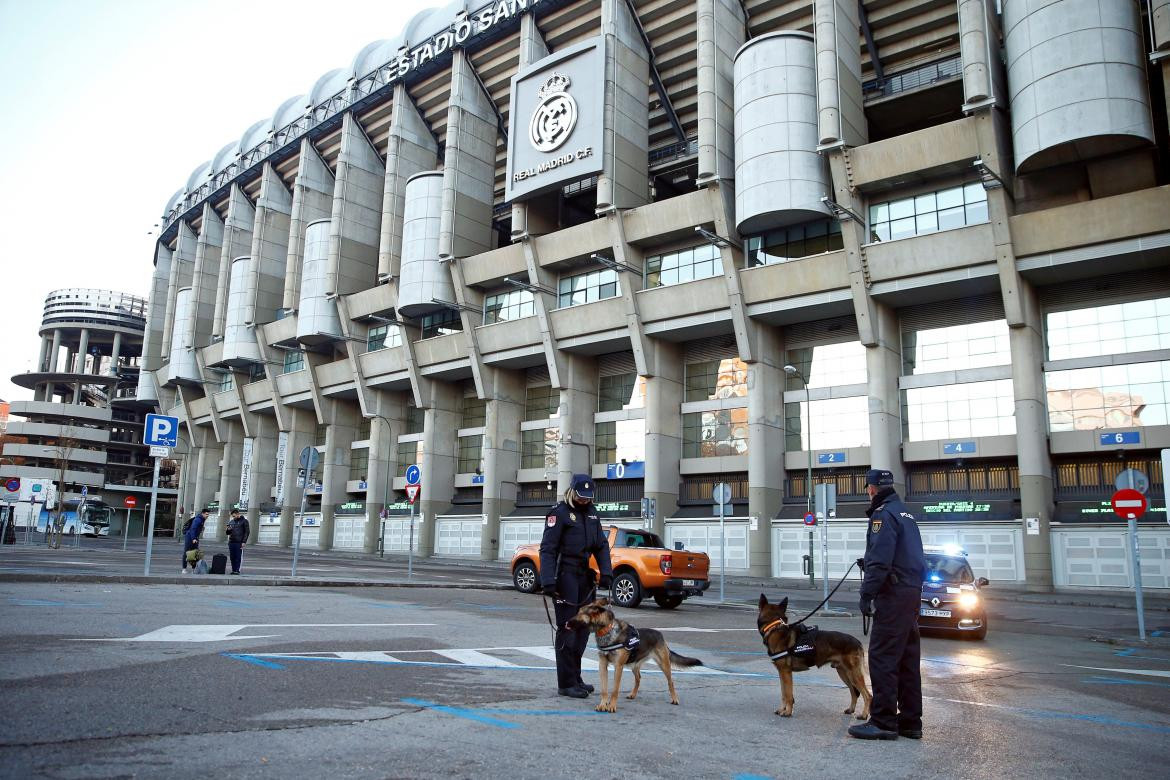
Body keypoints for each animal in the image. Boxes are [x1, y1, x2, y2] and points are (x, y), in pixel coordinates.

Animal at [568, 598, 697, 715]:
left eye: (580, 613)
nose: (566, 623)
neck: (606, 630)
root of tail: (660, 635)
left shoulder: (618, 666)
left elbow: (615, 690)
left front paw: (612, 706)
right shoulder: (602, 665)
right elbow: (604, 689)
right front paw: (603, 705)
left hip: (664, 664)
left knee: (671, 682)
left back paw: (675, 699)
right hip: (634, 665)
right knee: (638, 678)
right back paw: (633, 694)